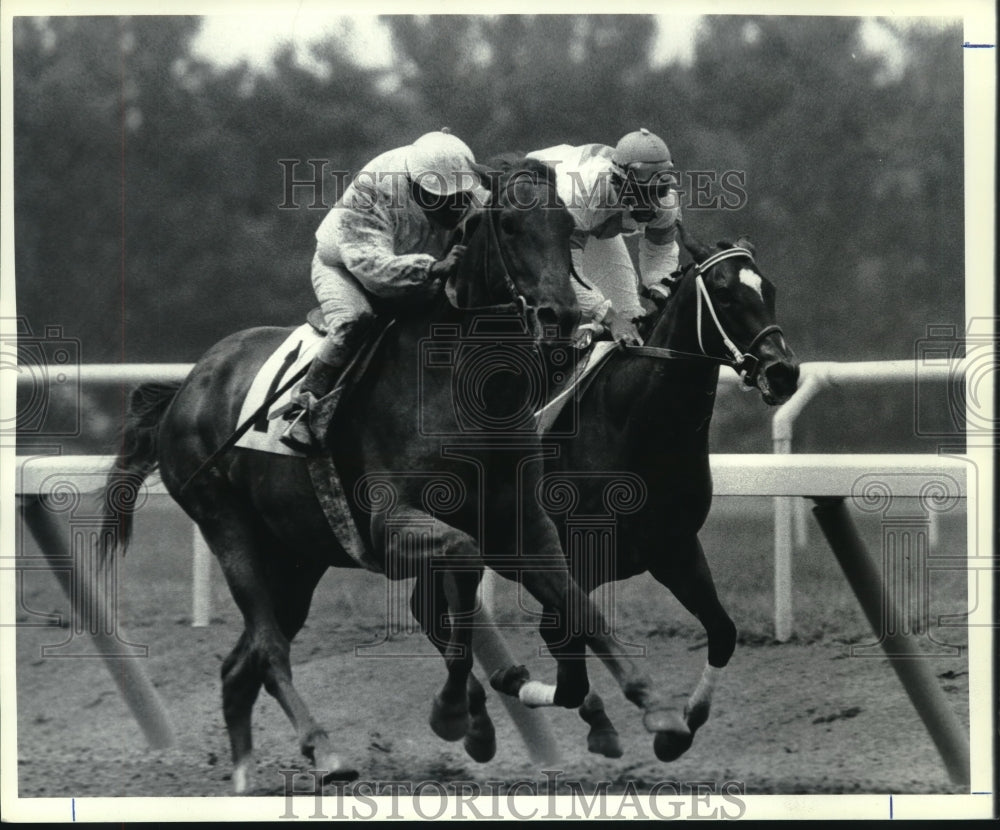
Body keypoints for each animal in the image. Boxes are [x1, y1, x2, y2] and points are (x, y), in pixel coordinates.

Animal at [103, 161, 696, 792]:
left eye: (569, 230)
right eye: (510, 225)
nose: (559, 316)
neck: (461, 383)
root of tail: (188, 385)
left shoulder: (521, 523)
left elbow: (578, 605)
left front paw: (657, 709)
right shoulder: (392, 525)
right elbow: (461, 567)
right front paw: (457, 713)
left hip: (295, 556)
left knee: (241, 665)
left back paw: (244, 775)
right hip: (227, 526)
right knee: (267, 648)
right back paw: (326, 750)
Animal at [490, 223, 796, 768]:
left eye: (770, 289)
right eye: (723, 293)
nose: (783, 373)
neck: (635, 423)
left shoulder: (673, 548)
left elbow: (723, 632)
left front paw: (678, 729)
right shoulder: (571, 559)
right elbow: (565, 649)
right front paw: (521, 681)